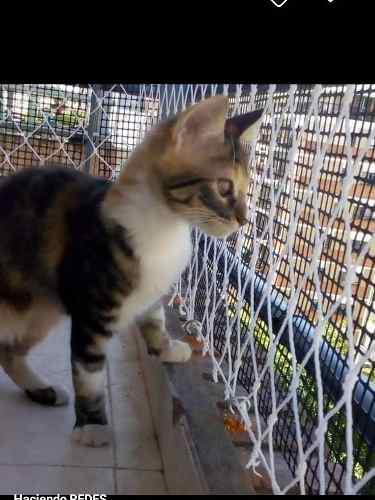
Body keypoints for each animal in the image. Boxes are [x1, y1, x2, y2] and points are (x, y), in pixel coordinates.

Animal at [0, 95, 262, 448]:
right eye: (224, 186)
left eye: (247, 190)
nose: (244, 220)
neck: (165, 228)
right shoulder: (92, 313)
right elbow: (89, 374)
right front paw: (92, 425)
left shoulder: (152, 290)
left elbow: (154, 317)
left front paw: (166, 347)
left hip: (41, 312)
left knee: (9, 352)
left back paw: (42, 390)